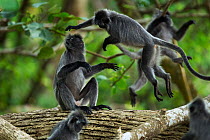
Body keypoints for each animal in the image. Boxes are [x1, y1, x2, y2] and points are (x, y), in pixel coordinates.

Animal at [66, 9, 210, 101]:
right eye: (98, 21)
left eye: (102, 22)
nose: (101, 25)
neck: (110, 20)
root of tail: (150, 38)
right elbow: (90, 21)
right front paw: (75, 26)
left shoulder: (114, 28)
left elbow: (117, 38)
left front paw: (106, 42)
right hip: (154, 50)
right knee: (153, 67)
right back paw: (167, 78)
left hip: (149, 48)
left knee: (146, 67)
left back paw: (156, 84)